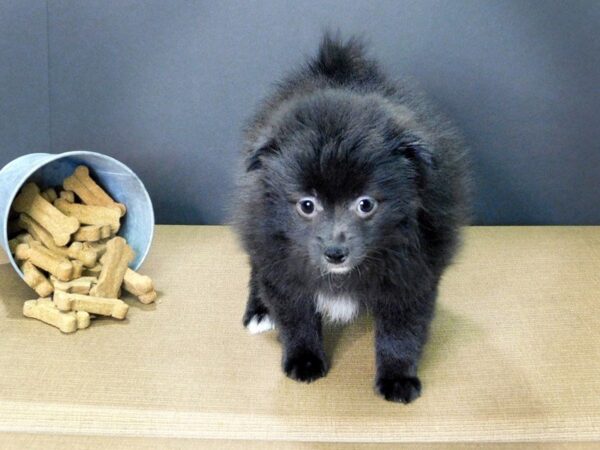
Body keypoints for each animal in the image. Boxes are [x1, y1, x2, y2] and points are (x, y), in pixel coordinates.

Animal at [232, 33, 472, 402]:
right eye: (307, 205)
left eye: (365, 204)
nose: (335, 252)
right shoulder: (284, 262)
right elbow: (296, 316)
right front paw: (303, 360)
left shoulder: (414, 271)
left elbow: (401, 331)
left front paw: (397, 377)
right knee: (258, 270)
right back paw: (259, 311)